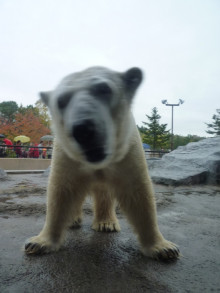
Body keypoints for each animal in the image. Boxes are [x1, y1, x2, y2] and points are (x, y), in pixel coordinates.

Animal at [24, 65, 179, 258]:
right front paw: (38, 243)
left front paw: (164, 248)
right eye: (61, 101)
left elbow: (138, 194)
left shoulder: (128, 151)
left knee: (104, 193)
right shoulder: (65, 156)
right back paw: (73, 219)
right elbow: (61, 192)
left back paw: (106, 223)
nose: (83, 129)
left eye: (104, 89)